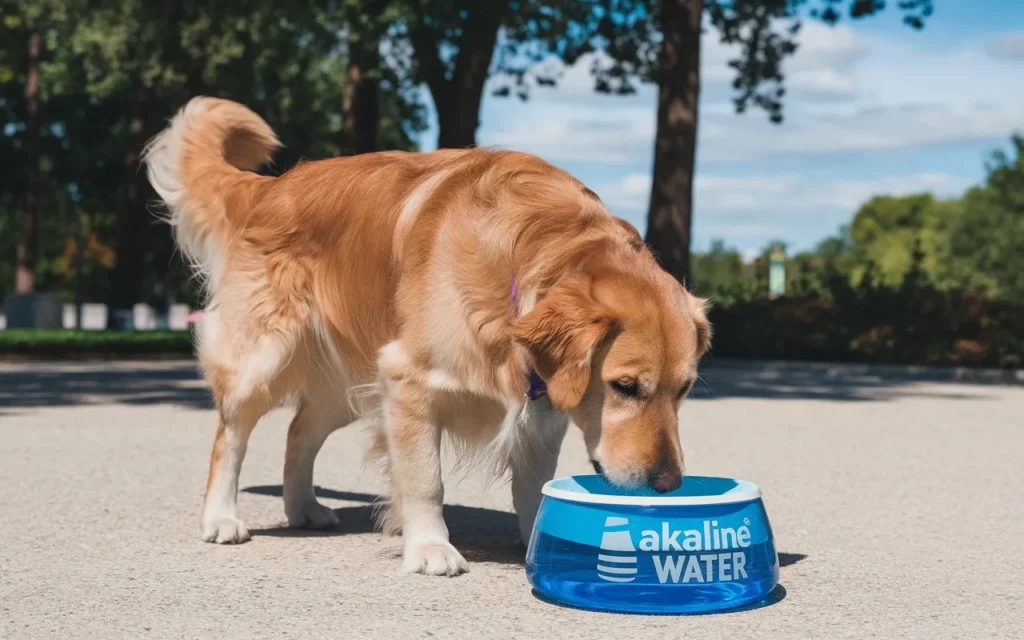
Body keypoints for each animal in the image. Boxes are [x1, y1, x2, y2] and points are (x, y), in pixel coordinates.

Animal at [146, 97, 712, 577]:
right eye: (624, 387)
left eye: (684, 389)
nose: (669, 484)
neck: (525, 260)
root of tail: (270, 186)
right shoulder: (408, 379)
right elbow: (424, 480)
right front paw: (430, 548)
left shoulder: (545, 403)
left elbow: (534, 485)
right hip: (266, 356)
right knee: (231, 434)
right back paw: (221, 517)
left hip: (349, 383)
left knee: (299, 430)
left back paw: (303, 507)